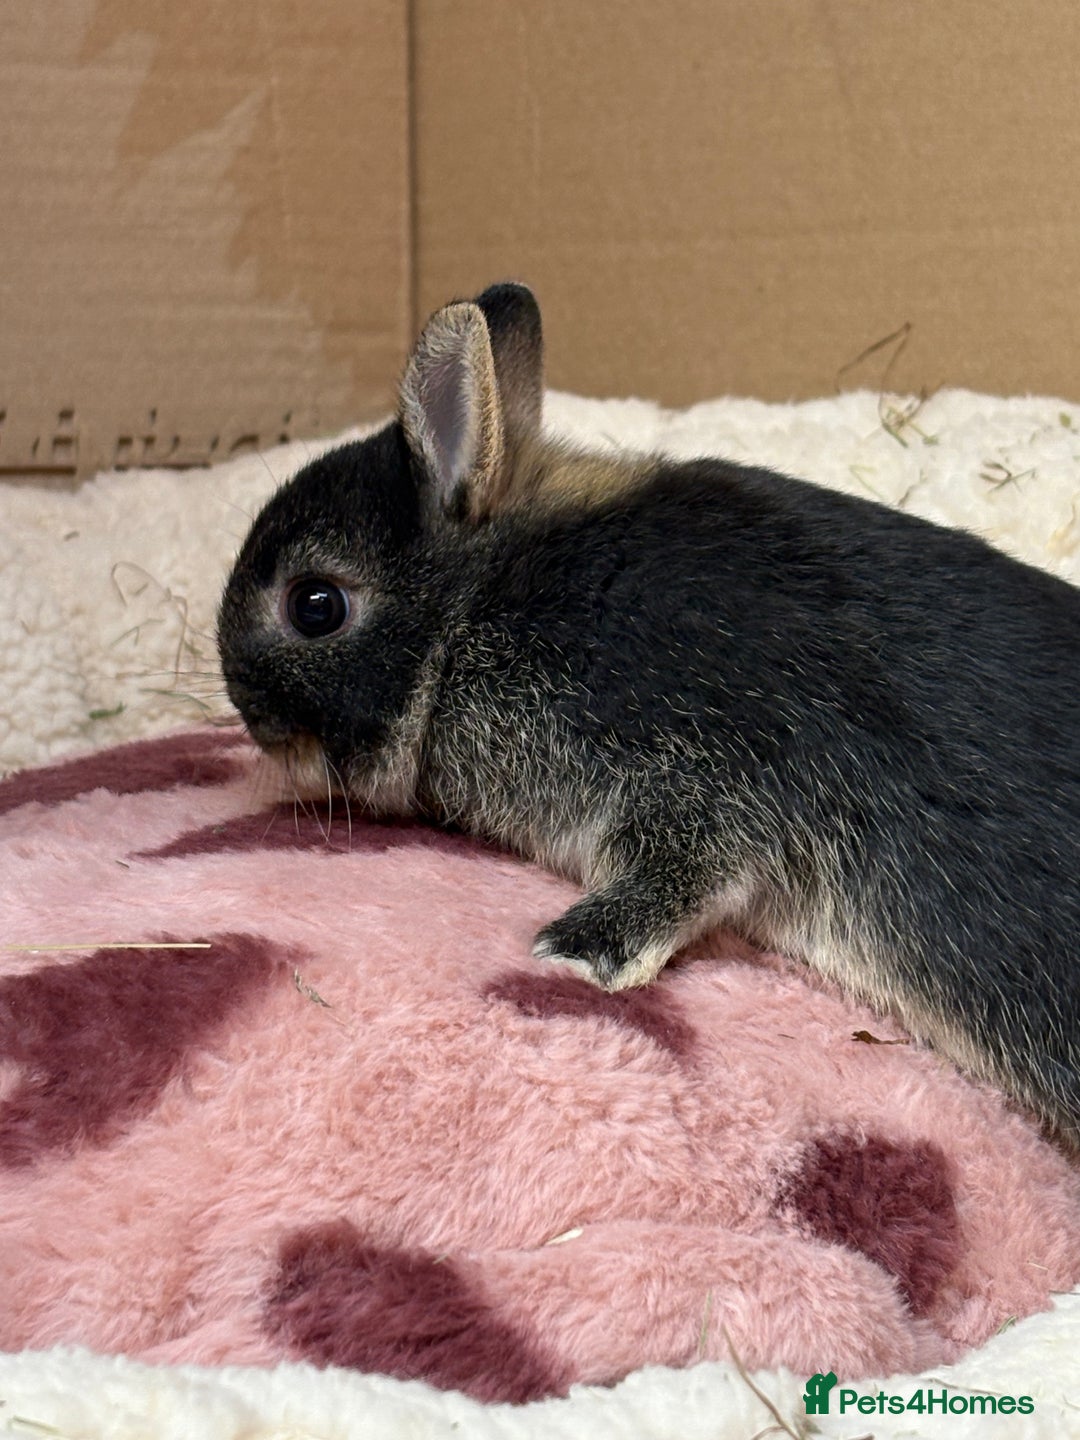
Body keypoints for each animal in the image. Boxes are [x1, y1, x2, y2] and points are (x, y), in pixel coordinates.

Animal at [218, 282, 1080, 1150]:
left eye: (315, 606)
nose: (248, 715)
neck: (470, 613)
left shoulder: (706, 765)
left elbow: (693, 867)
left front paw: (575, 951)